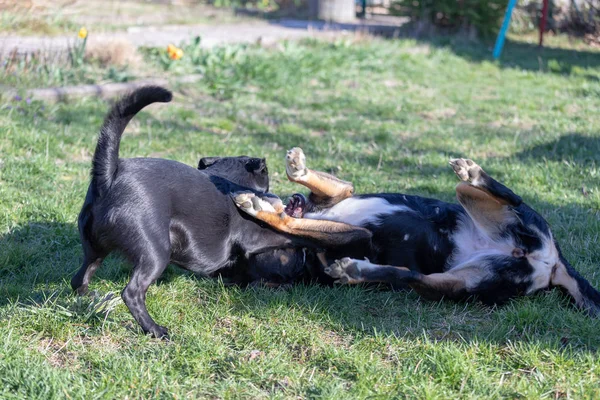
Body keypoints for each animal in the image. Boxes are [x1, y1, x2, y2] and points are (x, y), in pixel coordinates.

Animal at [70, 87, 370, 338]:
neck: (225, 179)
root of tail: (110, 175)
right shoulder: (261, 238)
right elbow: (299, 231)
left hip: (95, 249)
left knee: (79, 278)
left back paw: (86, 299)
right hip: (155, 254)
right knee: (132, 293)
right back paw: (154, 329)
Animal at [233, 147, 600, 316]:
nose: (291, 201)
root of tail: (552, 263)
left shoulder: (343, 197)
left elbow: (307, 196)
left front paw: (294, 171)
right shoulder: (351, 233)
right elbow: (293, 222)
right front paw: (267, 208)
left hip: (489, 207)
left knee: (512, 196)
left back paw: (474, 172)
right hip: (460, 286)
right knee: (411, 277)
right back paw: (357, 271)